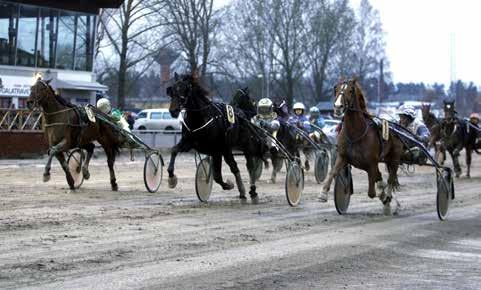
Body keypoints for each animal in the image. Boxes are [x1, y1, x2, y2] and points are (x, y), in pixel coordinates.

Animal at [167, 73, 268, 203]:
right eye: (172, 90)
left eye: (185, 90)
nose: (173, 110)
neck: (199, 119)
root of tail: (242, 114)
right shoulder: (188, 143)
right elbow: (174, 150)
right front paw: (171, 179)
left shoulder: (217, 150)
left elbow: (217, 176)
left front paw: (229, 184)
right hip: (228, 149)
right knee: (235, 167)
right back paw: (243, 193)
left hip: (243, 146)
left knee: (247, 167)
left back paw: (252, 192)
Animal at [320, 78, 404, 214]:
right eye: (336, 88)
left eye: (350, 90)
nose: (337, 107)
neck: (355, 133)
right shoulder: (343, 157)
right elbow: (333, 172)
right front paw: (323, 194)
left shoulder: (371, 163)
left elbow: (371, 192)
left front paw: (384, 197)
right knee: (380, 177)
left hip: (394, 158)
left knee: (390, 178)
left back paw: (388, 198)